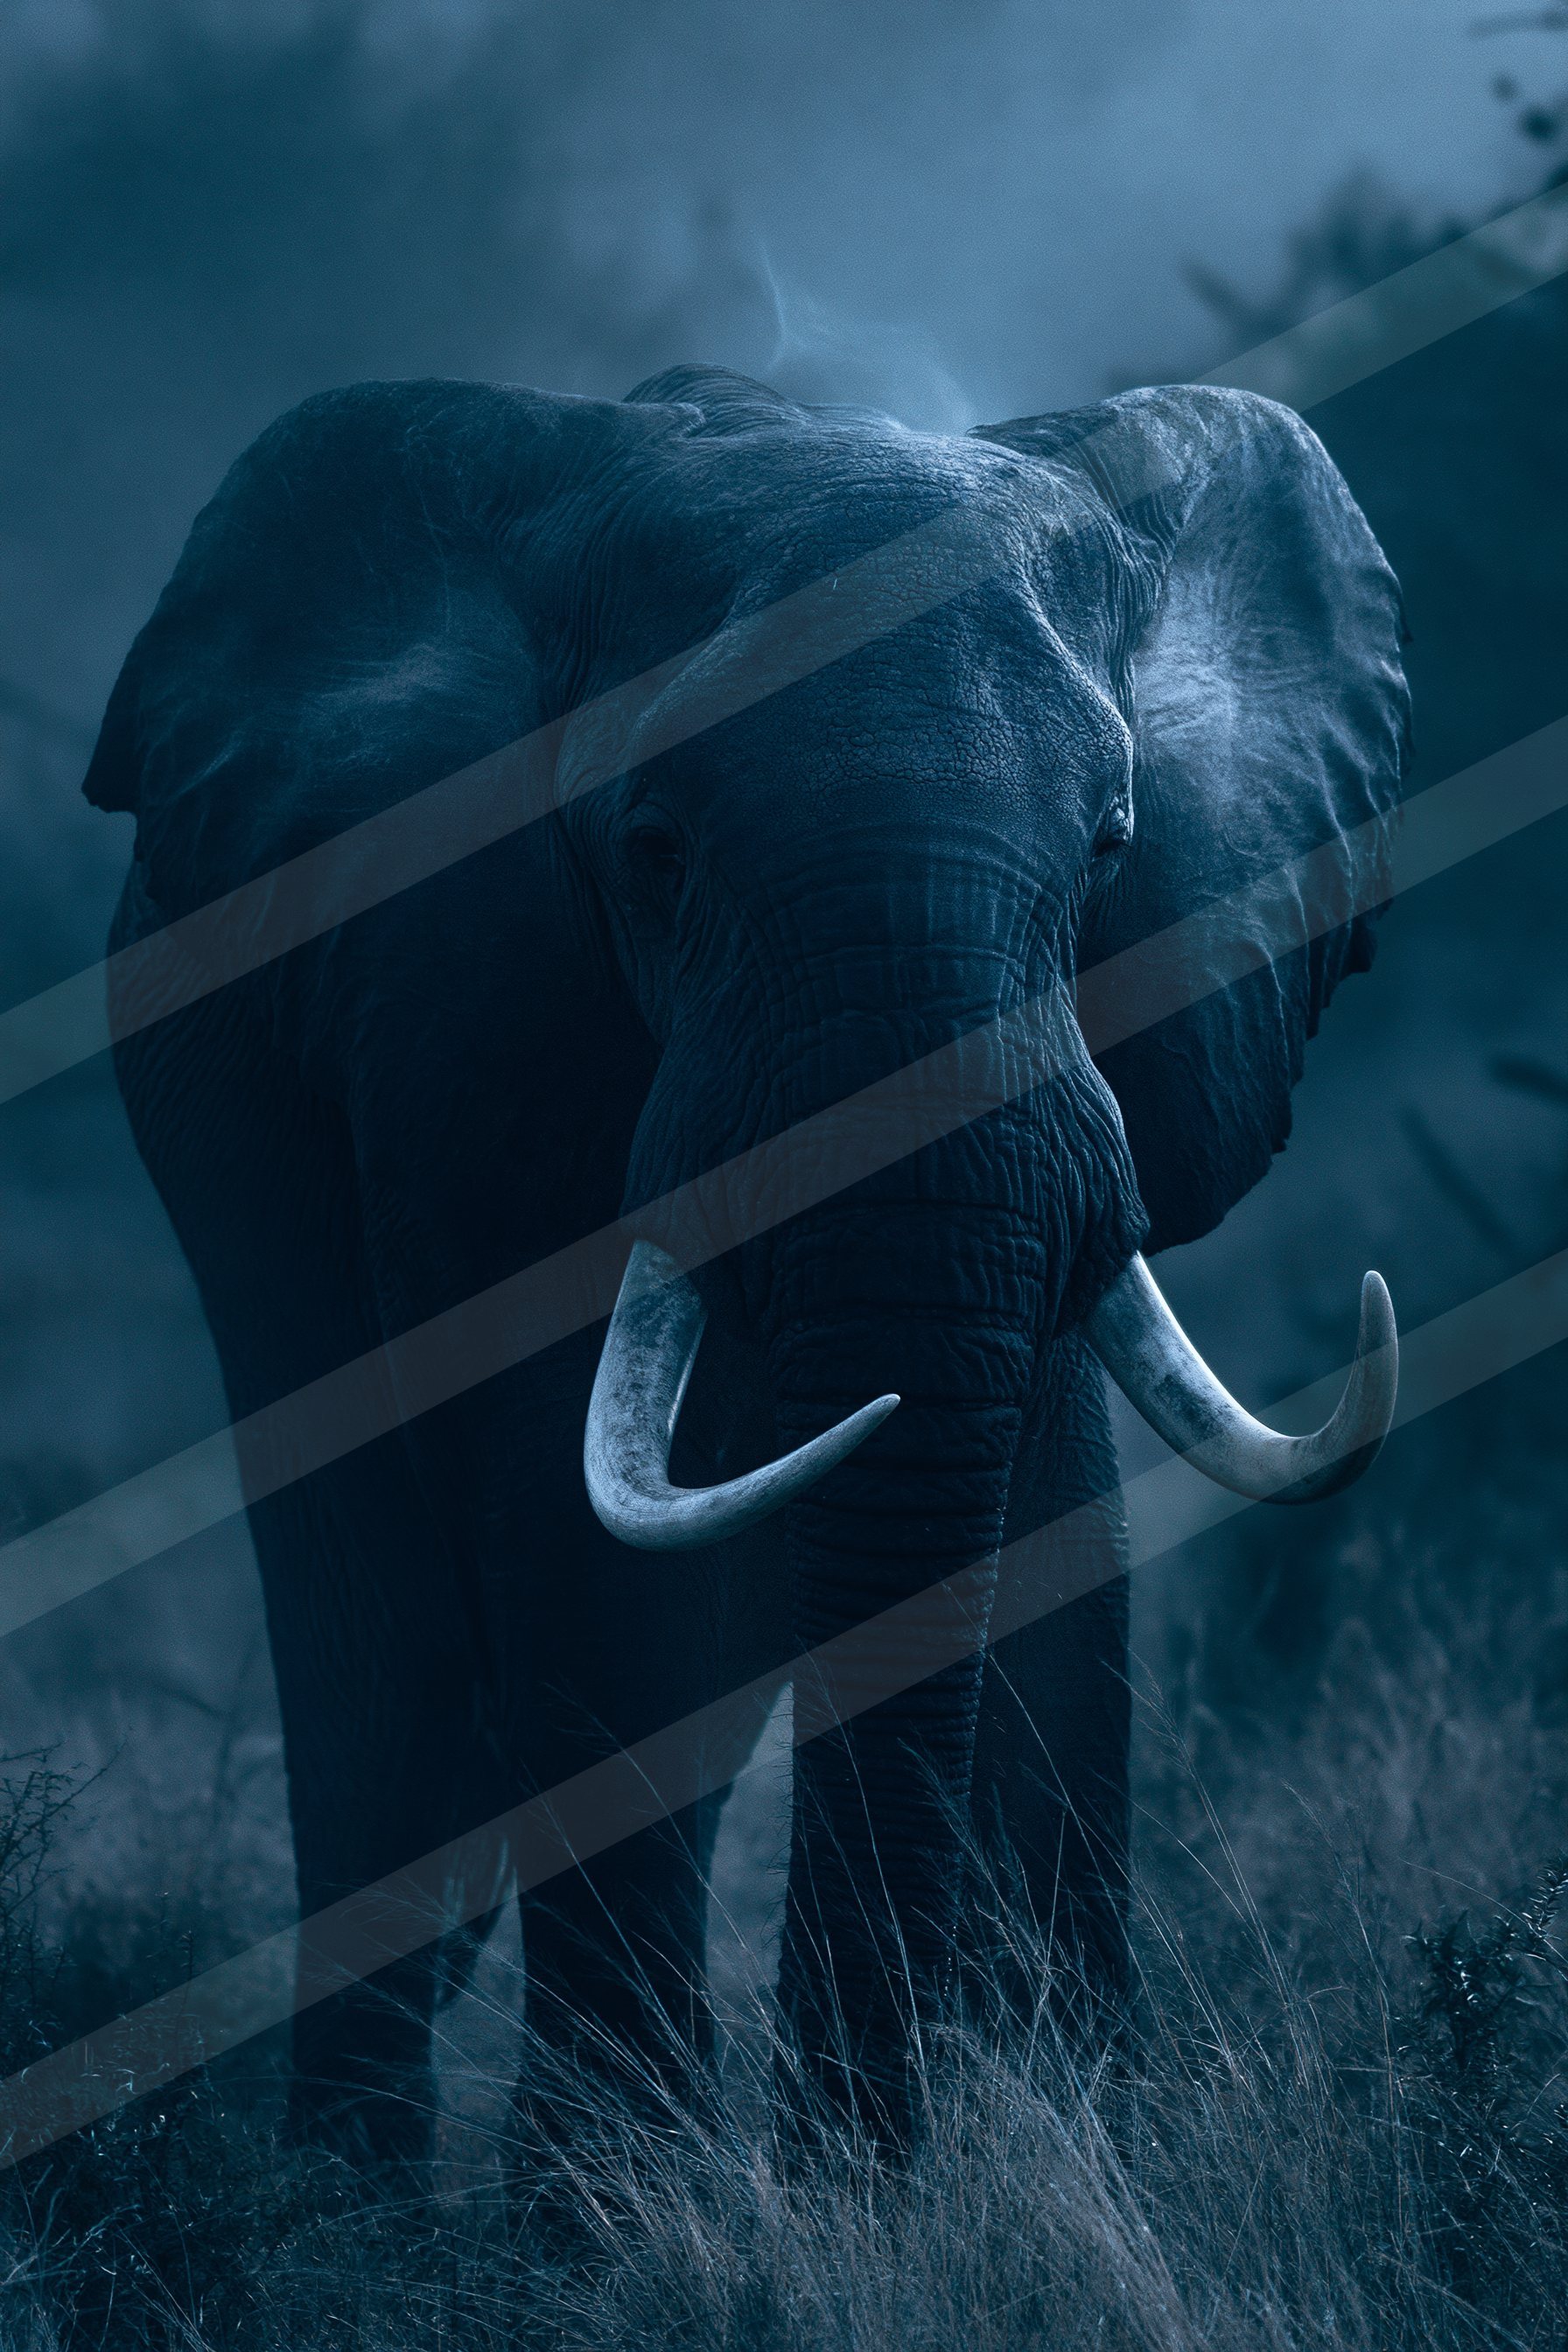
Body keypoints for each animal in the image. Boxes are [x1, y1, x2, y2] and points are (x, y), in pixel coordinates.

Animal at [82, 365, 1408, 2169]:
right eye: (652, 847)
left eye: (1112, 845)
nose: (861, 2131)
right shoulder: (461, 1002)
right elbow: (581, 1558)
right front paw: (615, 2210)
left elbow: (1052, 1526)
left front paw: (1055, 2140)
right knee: (390, 1638)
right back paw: (340, 2190)